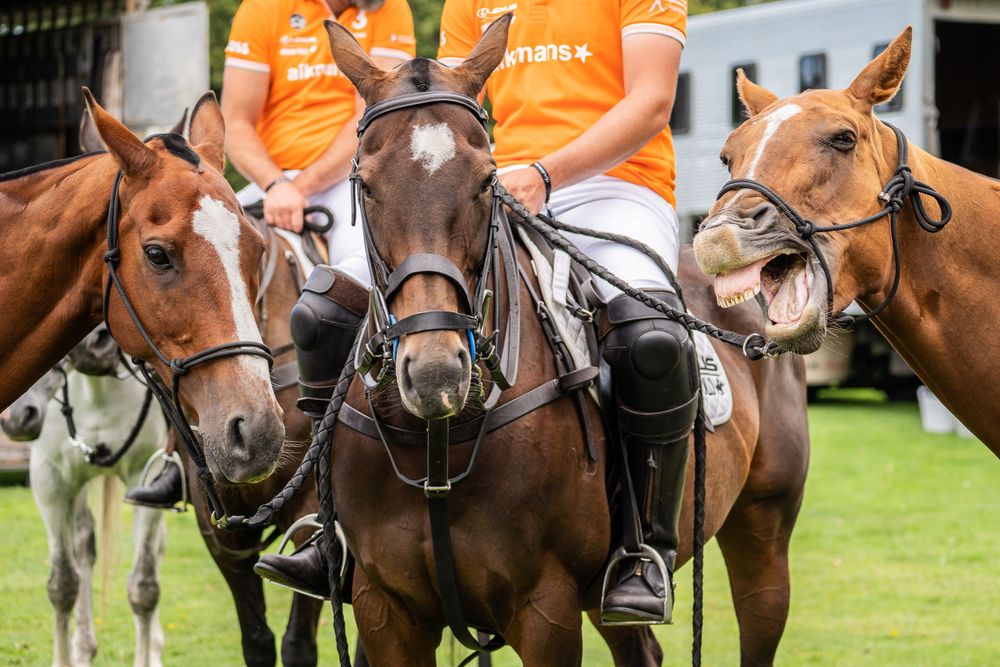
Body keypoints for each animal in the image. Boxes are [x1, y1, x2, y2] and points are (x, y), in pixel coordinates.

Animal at [0, 326, 169, 667]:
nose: (16, 416)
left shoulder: (149, 474)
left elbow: (143, 588)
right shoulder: (50, 480)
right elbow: (63, 583)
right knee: (84, 545)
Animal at [321, 18, 809, 666]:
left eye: (487, 182)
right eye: (367, 185)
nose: (436, 375)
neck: (438, 441)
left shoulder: (544, 609)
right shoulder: (384, 607)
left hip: (763, 529)